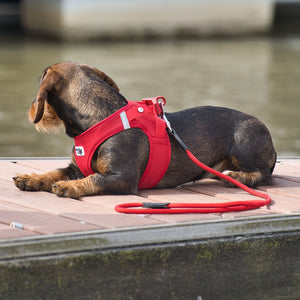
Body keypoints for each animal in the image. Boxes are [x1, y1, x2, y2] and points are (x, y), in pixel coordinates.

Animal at [13, 62, 276, 199]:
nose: (29, 108)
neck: (100, 118)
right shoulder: (75, 168)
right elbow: (55, 171)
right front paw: (30, 178)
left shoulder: (122, 178)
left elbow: (93, 179)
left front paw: (69, 187)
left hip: (244, 145)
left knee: (265, 174)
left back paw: (239, 177)